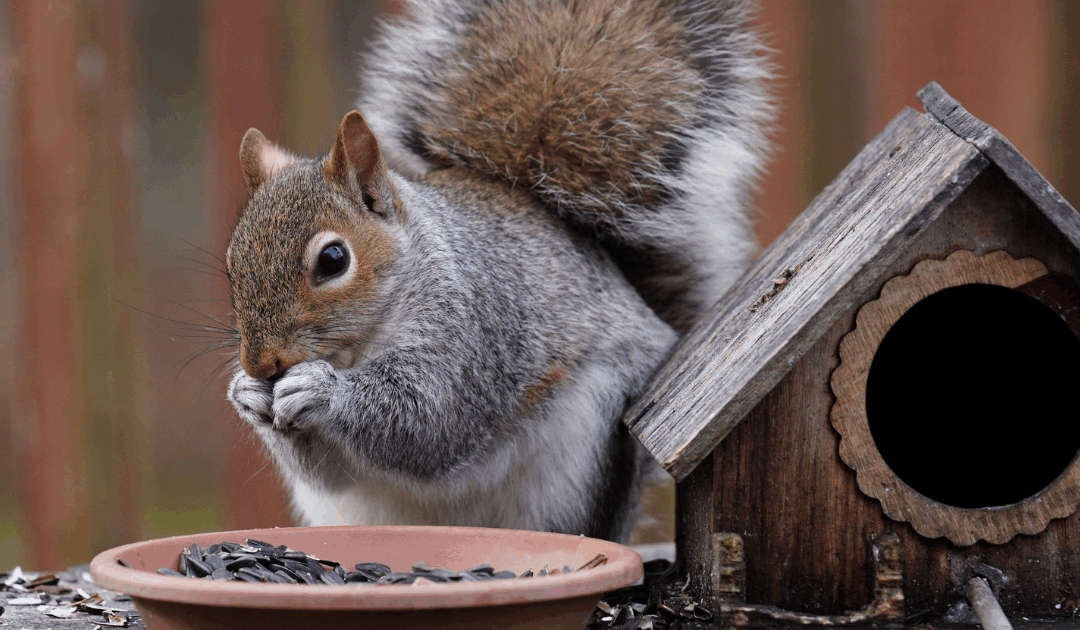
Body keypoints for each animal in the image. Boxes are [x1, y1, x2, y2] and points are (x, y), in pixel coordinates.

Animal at [225, 0, 771, 542]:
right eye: (232, 266)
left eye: (334, 259)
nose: (261, 364)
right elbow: (329, 471)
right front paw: (247, 394)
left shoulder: (474, 332)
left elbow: (430, 421)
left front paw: (322, 390)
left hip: (585, 459)